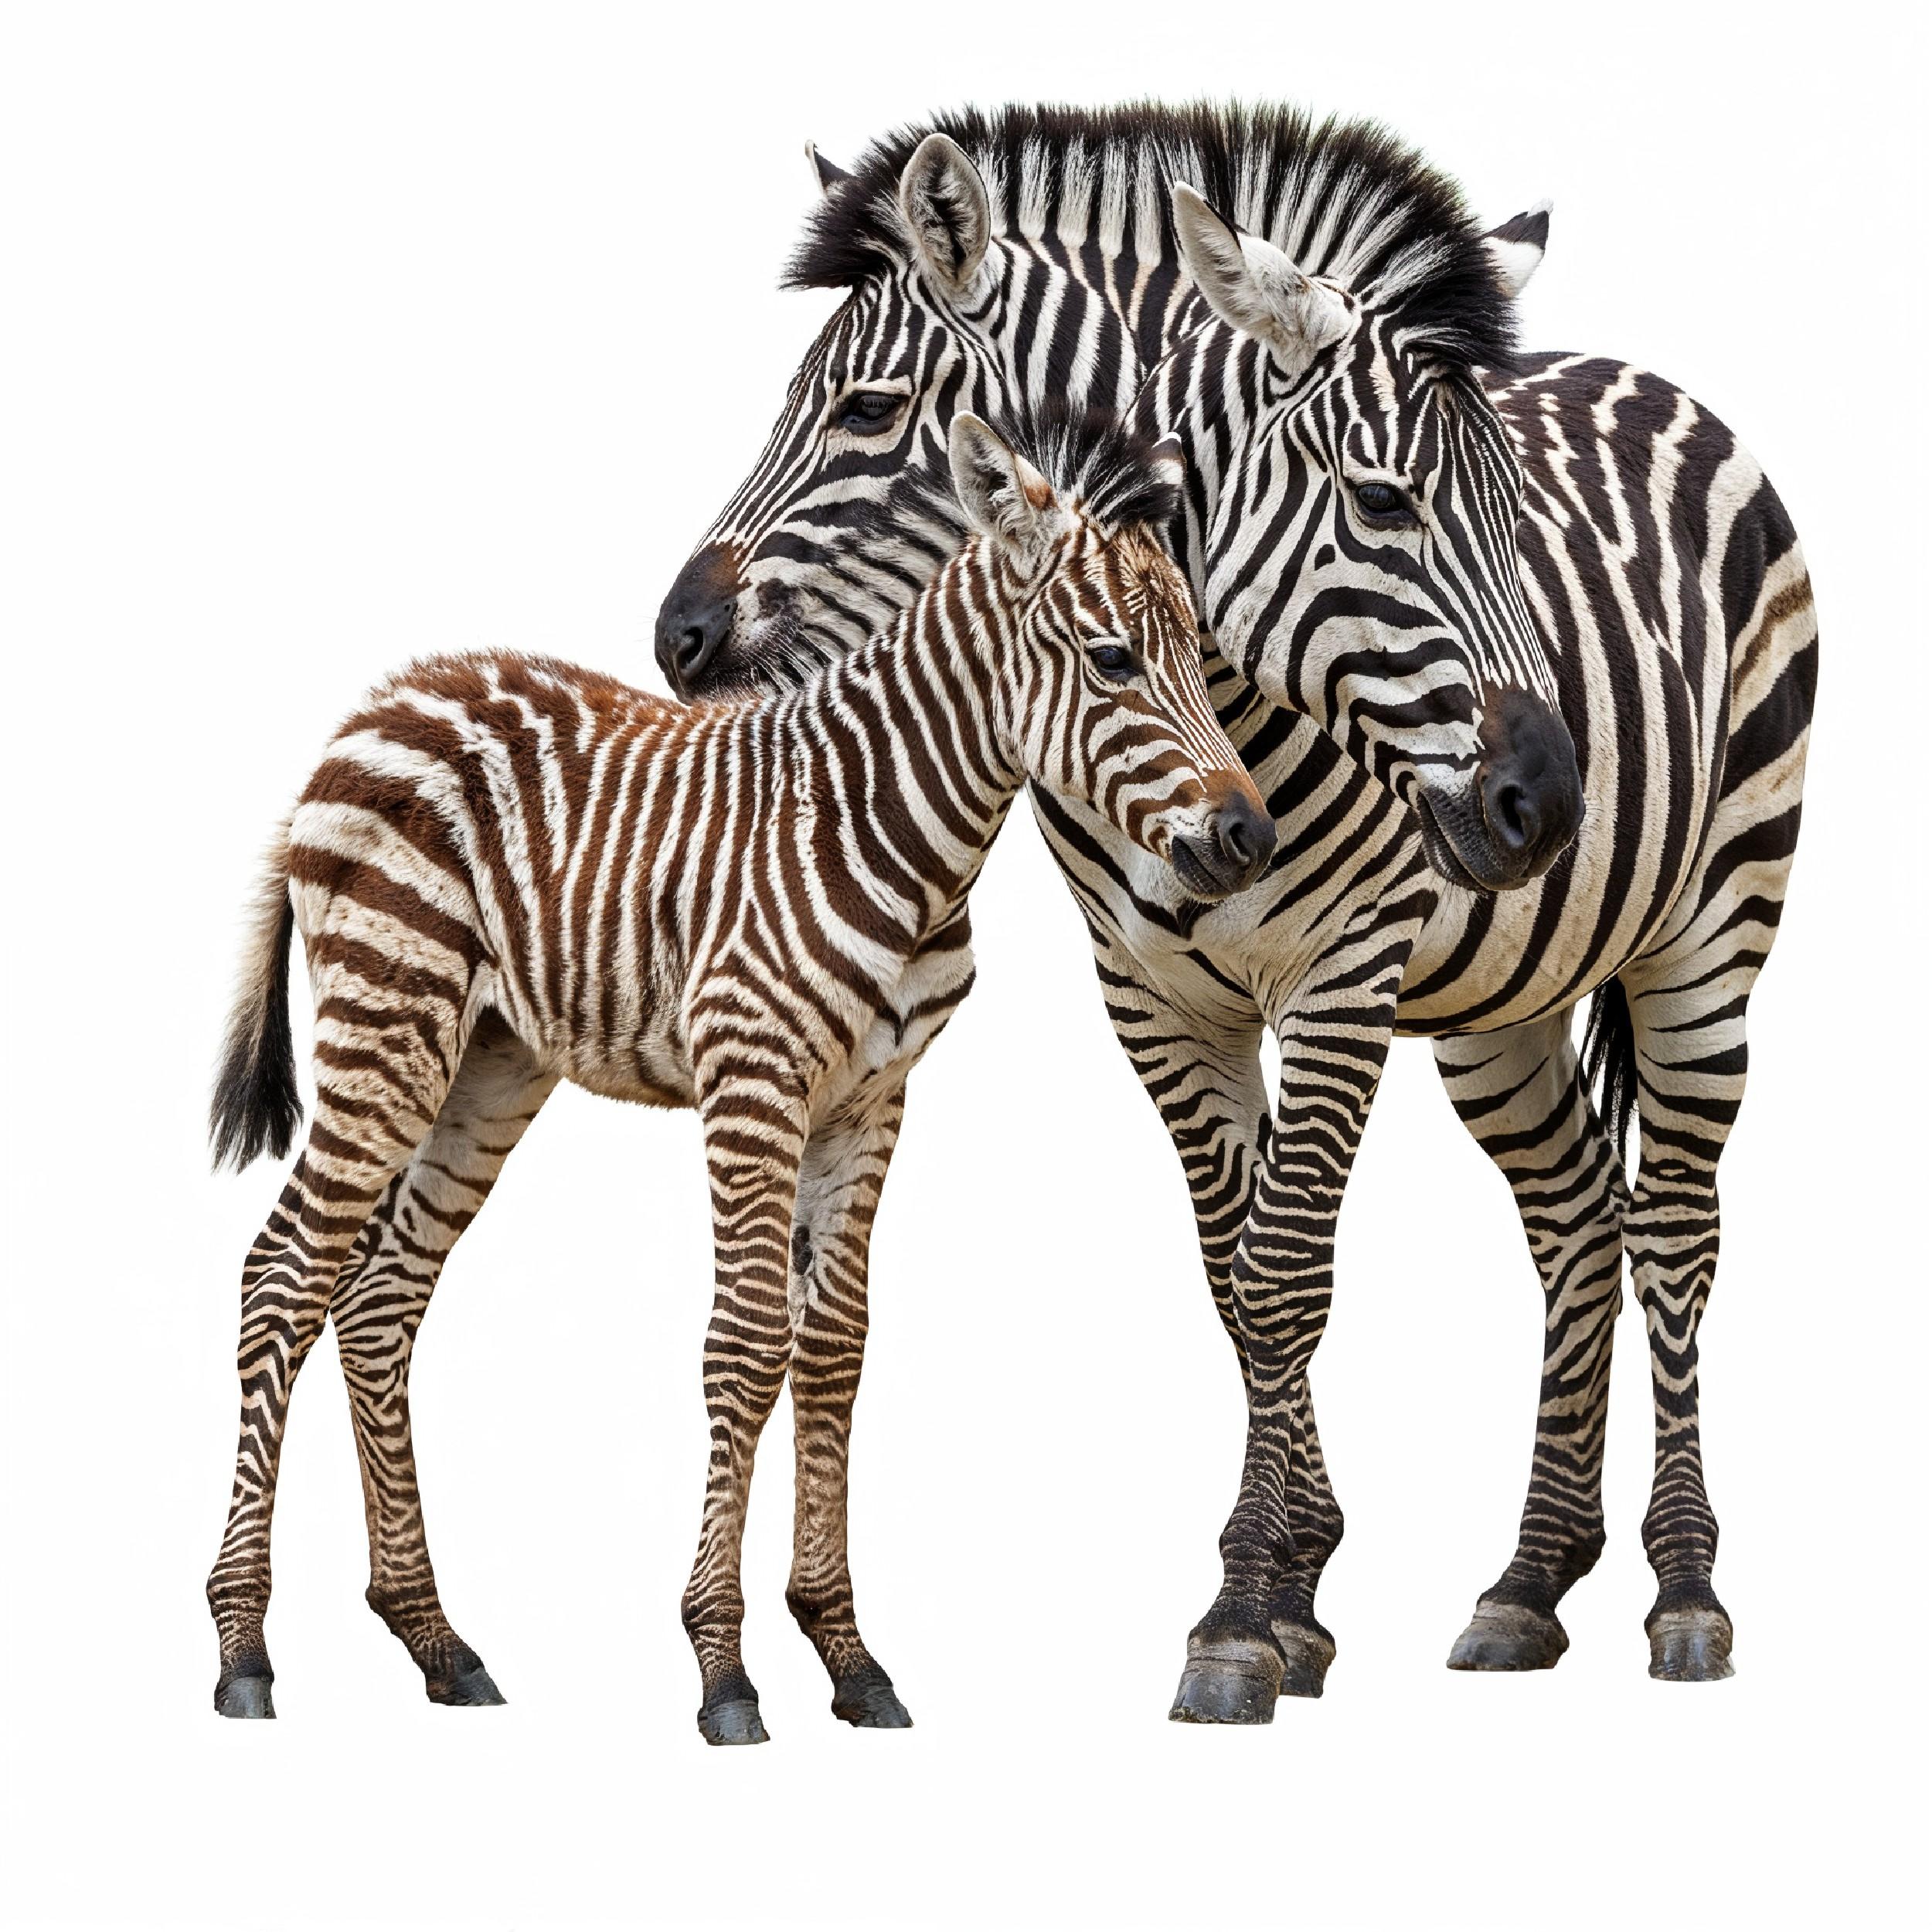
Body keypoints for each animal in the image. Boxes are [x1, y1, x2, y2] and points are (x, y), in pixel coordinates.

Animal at [204, 408, 1275, 1742]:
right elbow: (747, 1340)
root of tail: (375, 705)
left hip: (485, 1063)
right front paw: (724, 1668)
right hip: (386, 1027)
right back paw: (243, 1649)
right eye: (1115, 660)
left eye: (1199, 659)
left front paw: (850, 1657)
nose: (1251, 837)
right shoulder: (752, 1077)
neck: (894, 829)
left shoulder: (872, 1098)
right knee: (281, 1280)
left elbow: (836, 1348)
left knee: (383, 1296)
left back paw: (436, 1641)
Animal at [652, 104, 1816, 1721]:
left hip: (1714, 936)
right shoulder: (1155, 992)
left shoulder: (1340, 980)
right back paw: (1529, 1585)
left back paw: (1689, 1592)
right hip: (1501, 1008)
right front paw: (1287, 1595)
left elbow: (1286, 1272)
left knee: (1679, 1231)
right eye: (1387, 503)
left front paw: (1245, 1615)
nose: (677, 639)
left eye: (871, 412)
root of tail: (1659, 381)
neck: (1224, 699)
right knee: (1581, 1222)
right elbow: (1234, 1276)